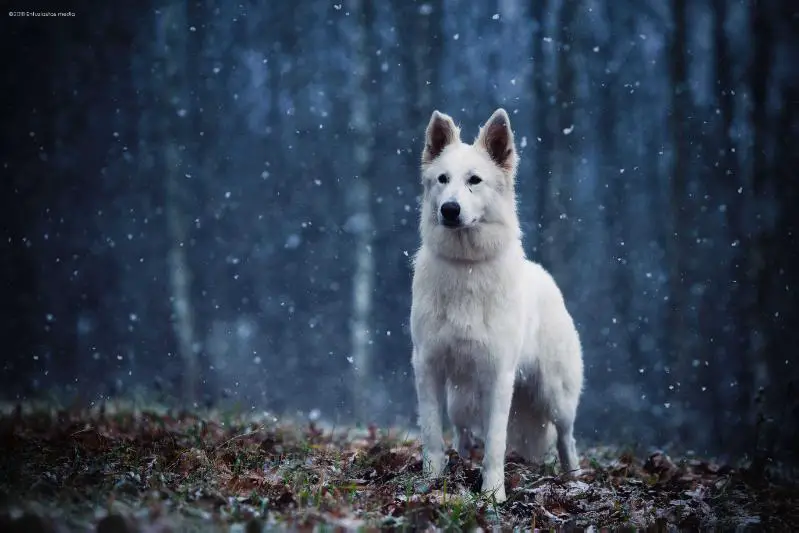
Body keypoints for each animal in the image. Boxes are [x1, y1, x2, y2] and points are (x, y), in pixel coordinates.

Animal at [410, 109, 584, 502]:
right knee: (461, 433)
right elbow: (432, 433)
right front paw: (431, 481)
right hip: (460, 399)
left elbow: (495, 442)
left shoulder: (499, 375)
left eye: (474, 180)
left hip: (556, 395)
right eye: (442, 179)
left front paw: (493, 494)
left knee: (567, 438)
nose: (450, 209)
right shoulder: (428, 365)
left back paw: (575, 480)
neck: (466, 266)